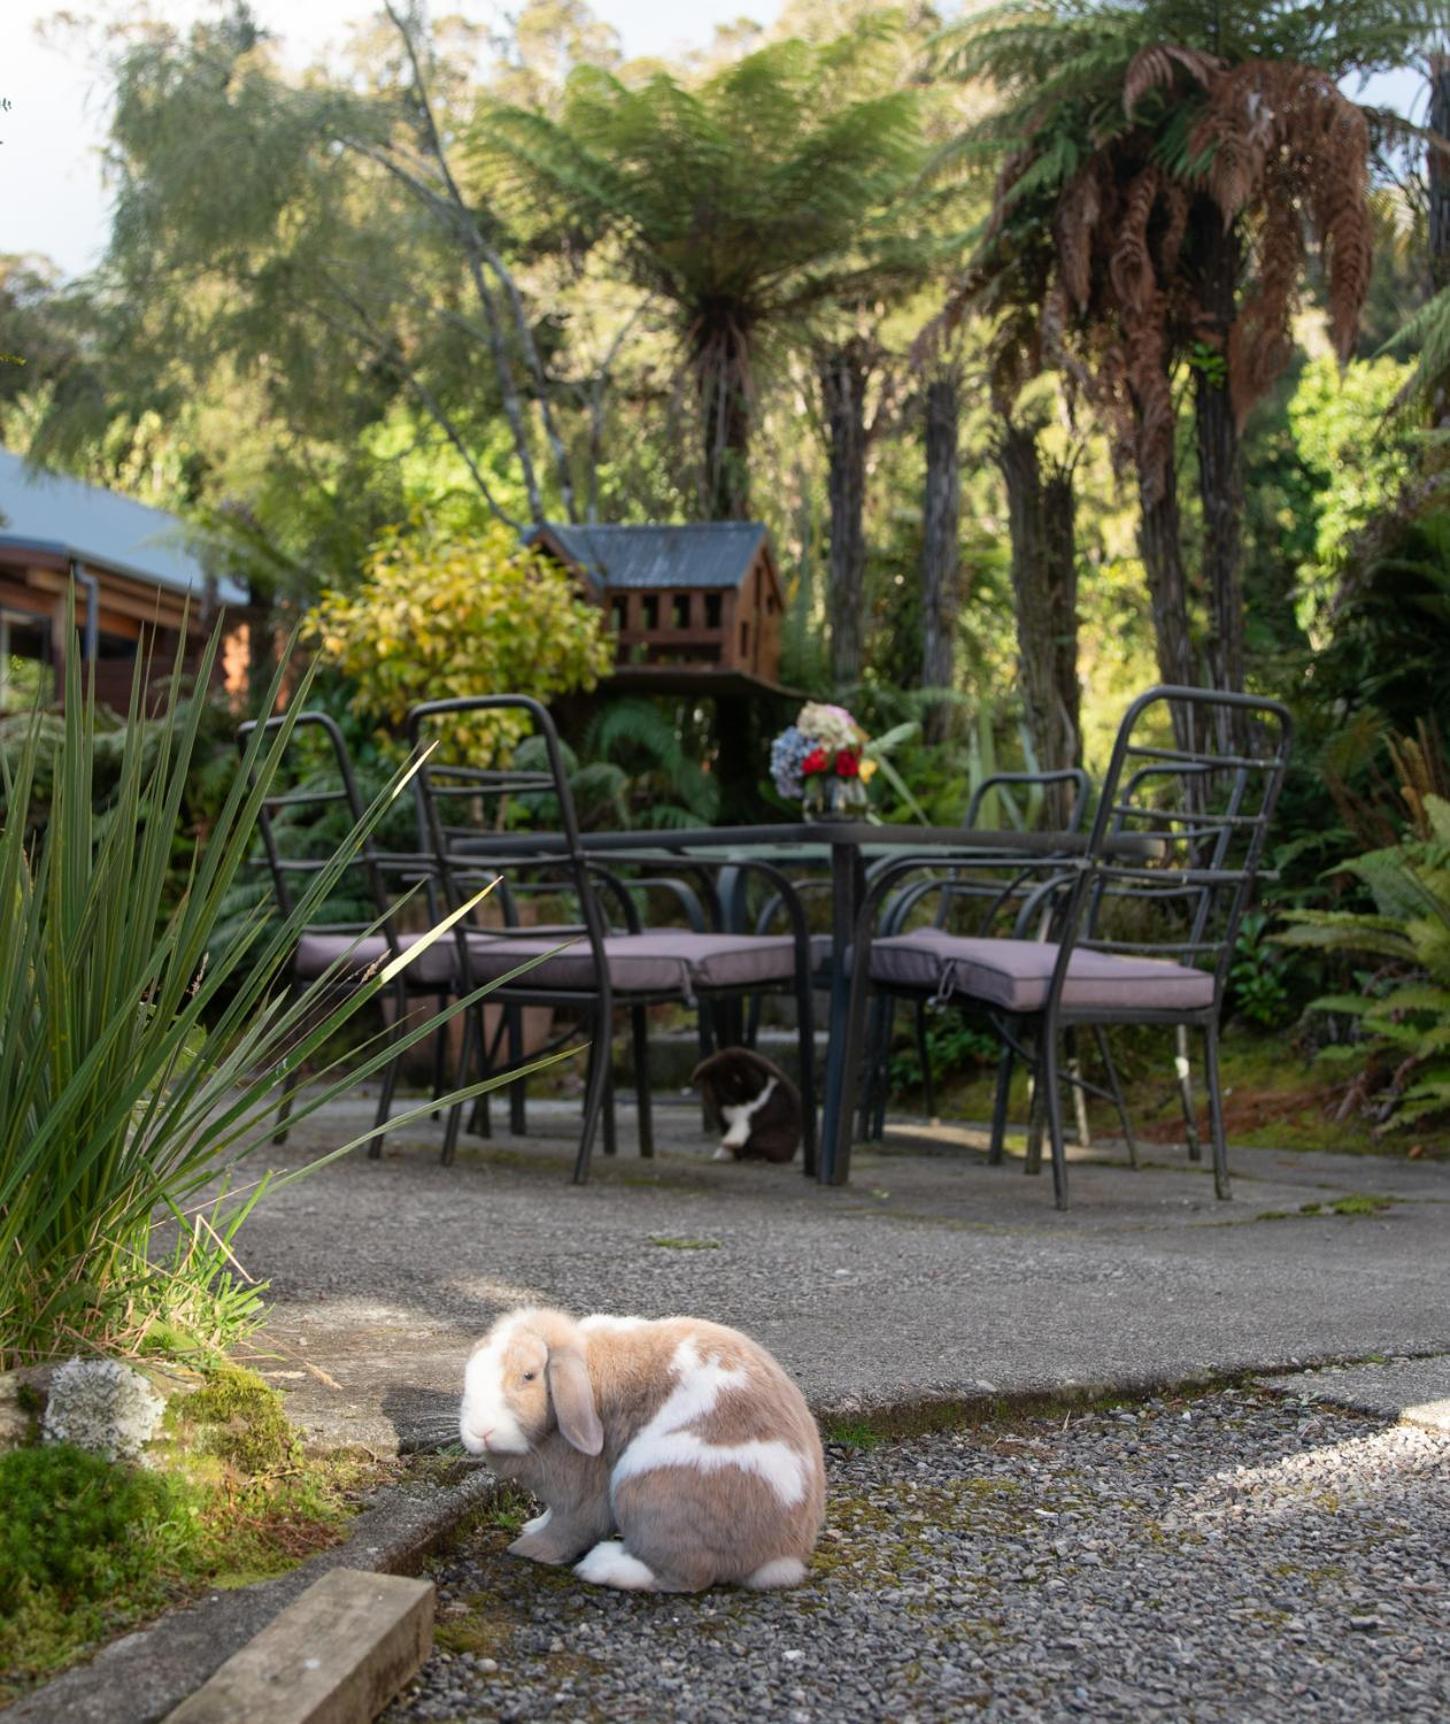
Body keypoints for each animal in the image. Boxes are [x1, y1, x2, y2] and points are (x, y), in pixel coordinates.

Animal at [465, 1303, 827, 1586]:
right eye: (469, 1373)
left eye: (528, 1376)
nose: (481, 1430)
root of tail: (781, 1554)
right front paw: (532, 1526)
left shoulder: (583, 1497)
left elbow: (570, 1527)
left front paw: (530, 1549)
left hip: (647, 1486)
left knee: (684, 1575)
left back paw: (602, 1567)